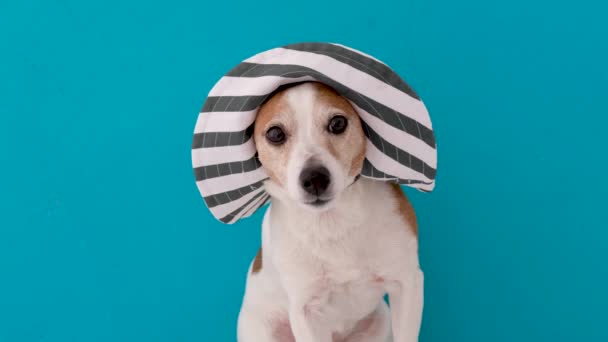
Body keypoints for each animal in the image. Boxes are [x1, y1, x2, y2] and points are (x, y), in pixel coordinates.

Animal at [235, 81, 426, 340]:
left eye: (337, 123)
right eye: (275, 134)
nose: (314, 178)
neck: (332, 220)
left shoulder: (408, 283)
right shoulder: (307, 312)